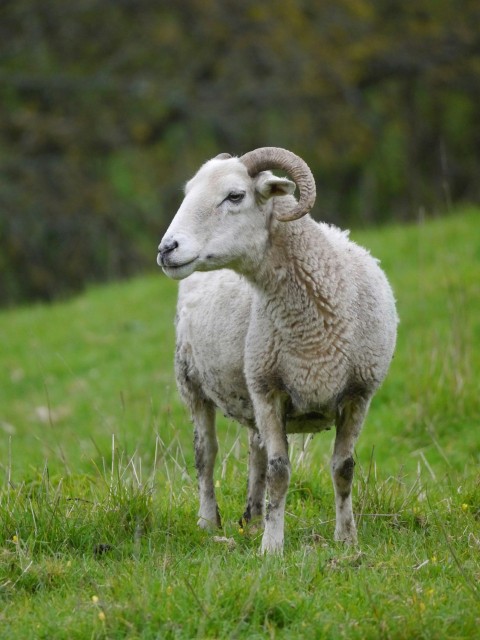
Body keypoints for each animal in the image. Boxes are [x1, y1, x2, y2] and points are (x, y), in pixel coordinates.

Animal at [158, 148, 398, 552]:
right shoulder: (269, 391)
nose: (165, 249)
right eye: (188, 192)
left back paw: (253, 519)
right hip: (191, 381)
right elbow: (280, 472)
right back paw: (209, 521)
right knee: (206, 454)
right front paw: (272, 547)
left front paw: (347, 539)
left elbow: (343, 469)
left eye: (235, 196)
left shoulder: (358, 394)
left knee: (255, 450)